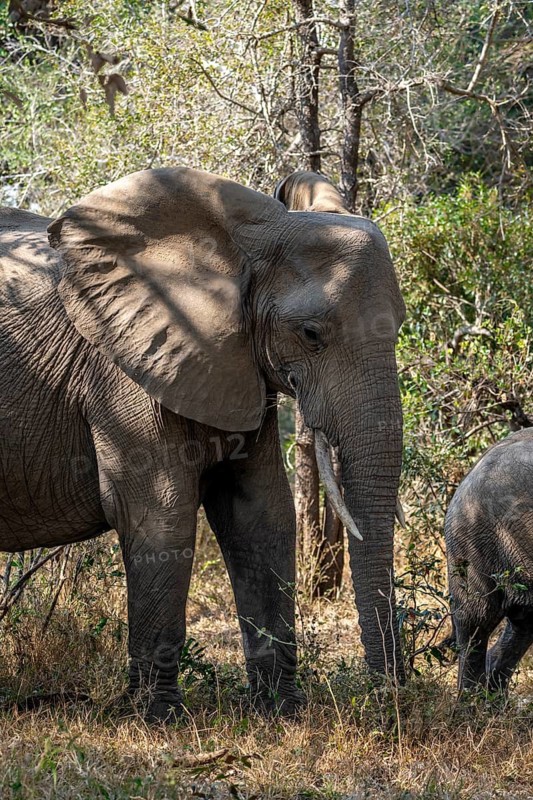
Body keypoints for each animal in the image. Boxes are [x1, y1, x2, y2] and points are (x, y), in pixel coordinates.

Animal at [0, 166, 405, 721]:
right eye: (310, 333)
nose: (391, 700)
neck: (241, 242)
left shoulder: (236, 365)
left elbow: (260, 515)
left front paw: (280, 712)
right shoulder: (125, 369)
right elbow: (162, 516)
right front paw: (157, 720)